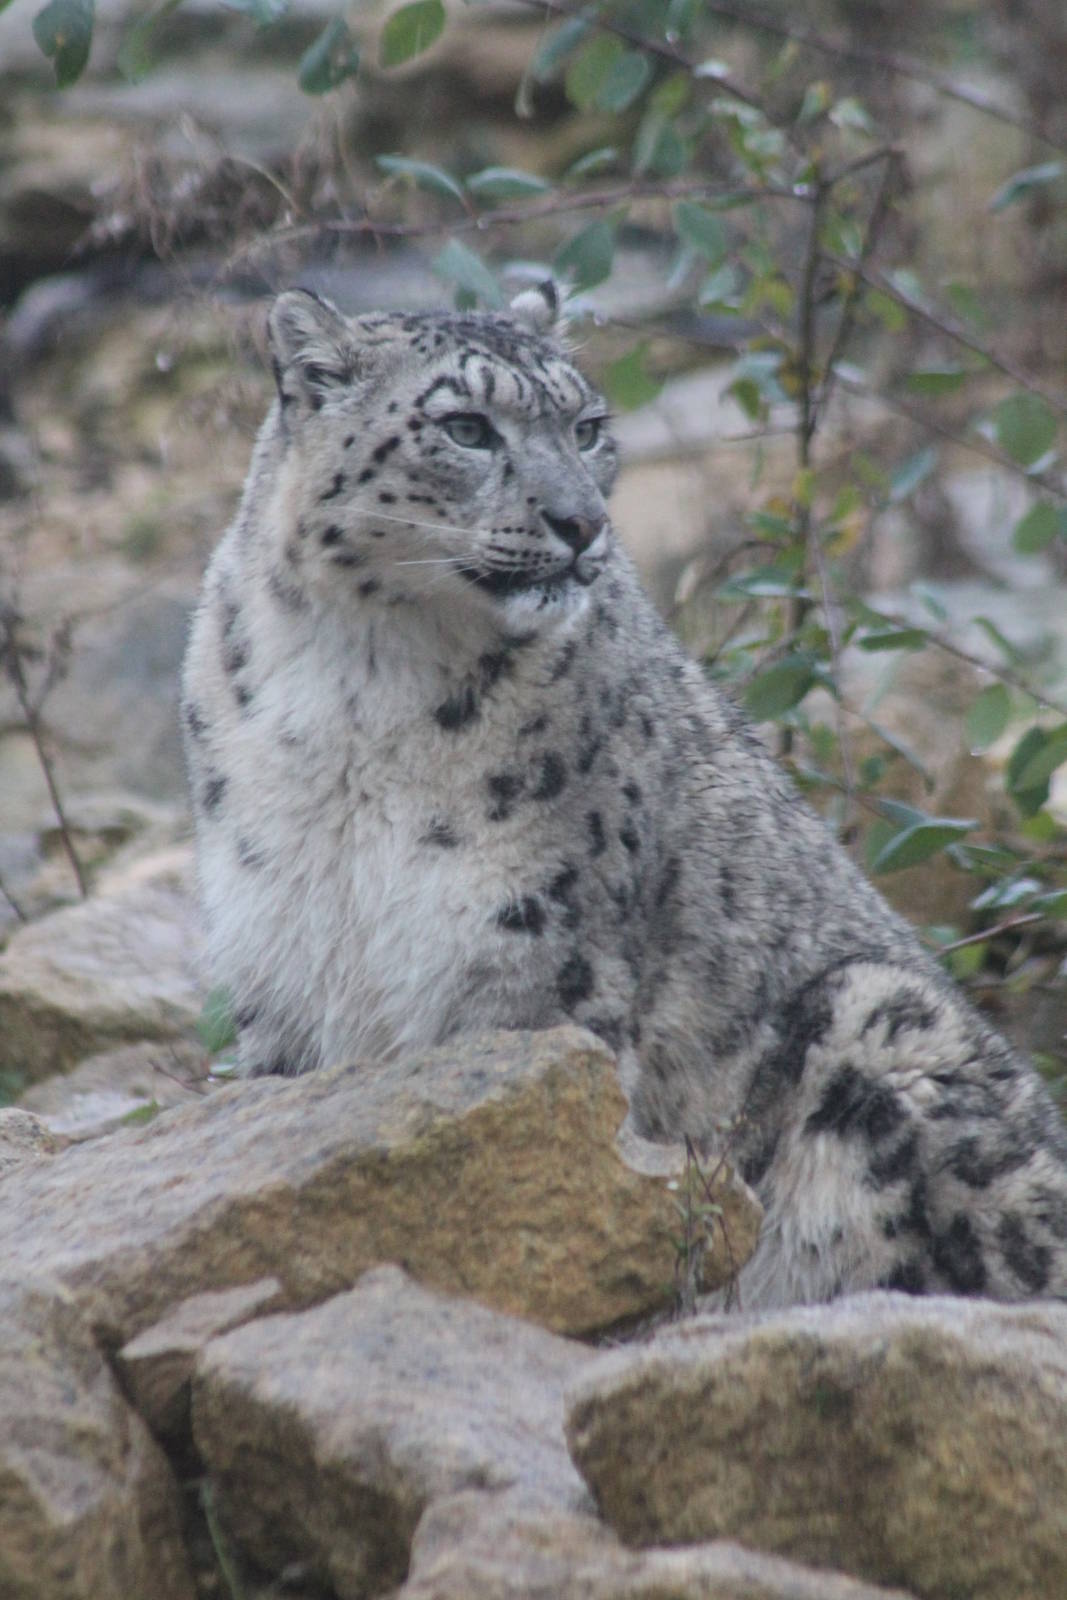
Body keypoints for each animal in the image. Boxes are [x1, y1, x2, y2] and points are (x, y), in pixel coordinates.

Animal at [182, 282, 1067, 1310]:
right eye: (465, 427)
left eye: (587, 426)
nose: (581, 523)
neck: (360, 685)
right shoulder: (278, 952)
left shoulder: (535, 951)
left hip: (881, 1020)